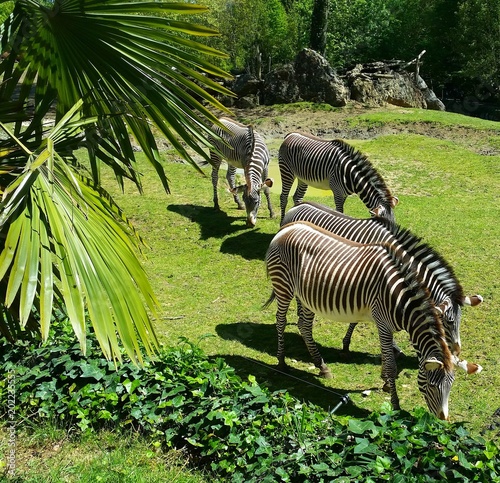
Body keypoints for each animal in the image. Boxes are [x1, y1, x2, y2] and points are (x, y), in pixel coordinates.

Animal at [266, 220, 458, 420]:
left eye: (451, 385)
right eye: (432, 386)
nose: (443, 419)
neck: (401, 301)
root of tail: (287, 227)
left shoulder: (382, 325)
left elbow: (385, 356)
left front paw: (385, 382)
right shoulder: (383, 324)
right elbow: (392, 366)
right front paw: (395, 405)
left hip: (305, 296)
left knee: (304, 325)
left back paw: (321, 366)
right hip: (283, 286)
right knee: (280, 320)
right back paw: (282, 361)